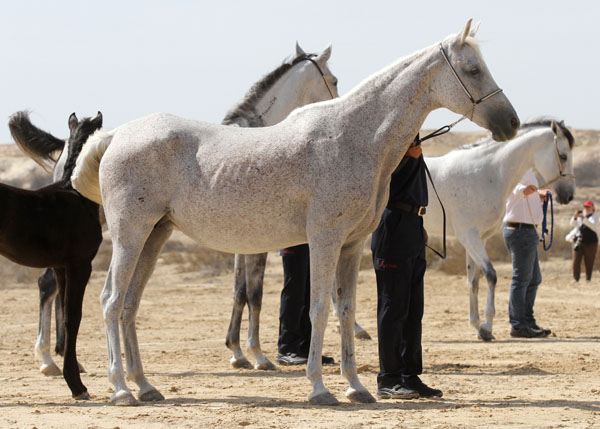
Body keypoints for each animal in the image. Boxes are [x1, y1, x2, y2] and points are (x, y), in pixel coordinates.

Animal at [72, 20, 516, 404]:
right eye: (472, 69)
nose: (510, 122)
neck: (355, 137)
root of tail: (118, 135)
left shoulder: (351, 247)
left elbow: (346, 311)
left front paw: (356, 387)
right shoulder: (324, 241)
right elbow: (318, 309)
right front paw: (319, 388)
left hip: (155, 234)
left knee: (129, 305)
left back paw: (145, 386)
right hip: (130, 235)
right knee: (111, 301)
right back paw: (121, 389)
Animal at [424, 118, 576, 340]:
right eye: (563, 156)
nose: (569, 196)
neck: (485, 174)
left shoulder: (479, 238)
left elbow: (474, 280)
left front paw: (478, 326)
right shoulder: (469, 236)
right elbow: (491, 275)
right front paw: (487, 327)